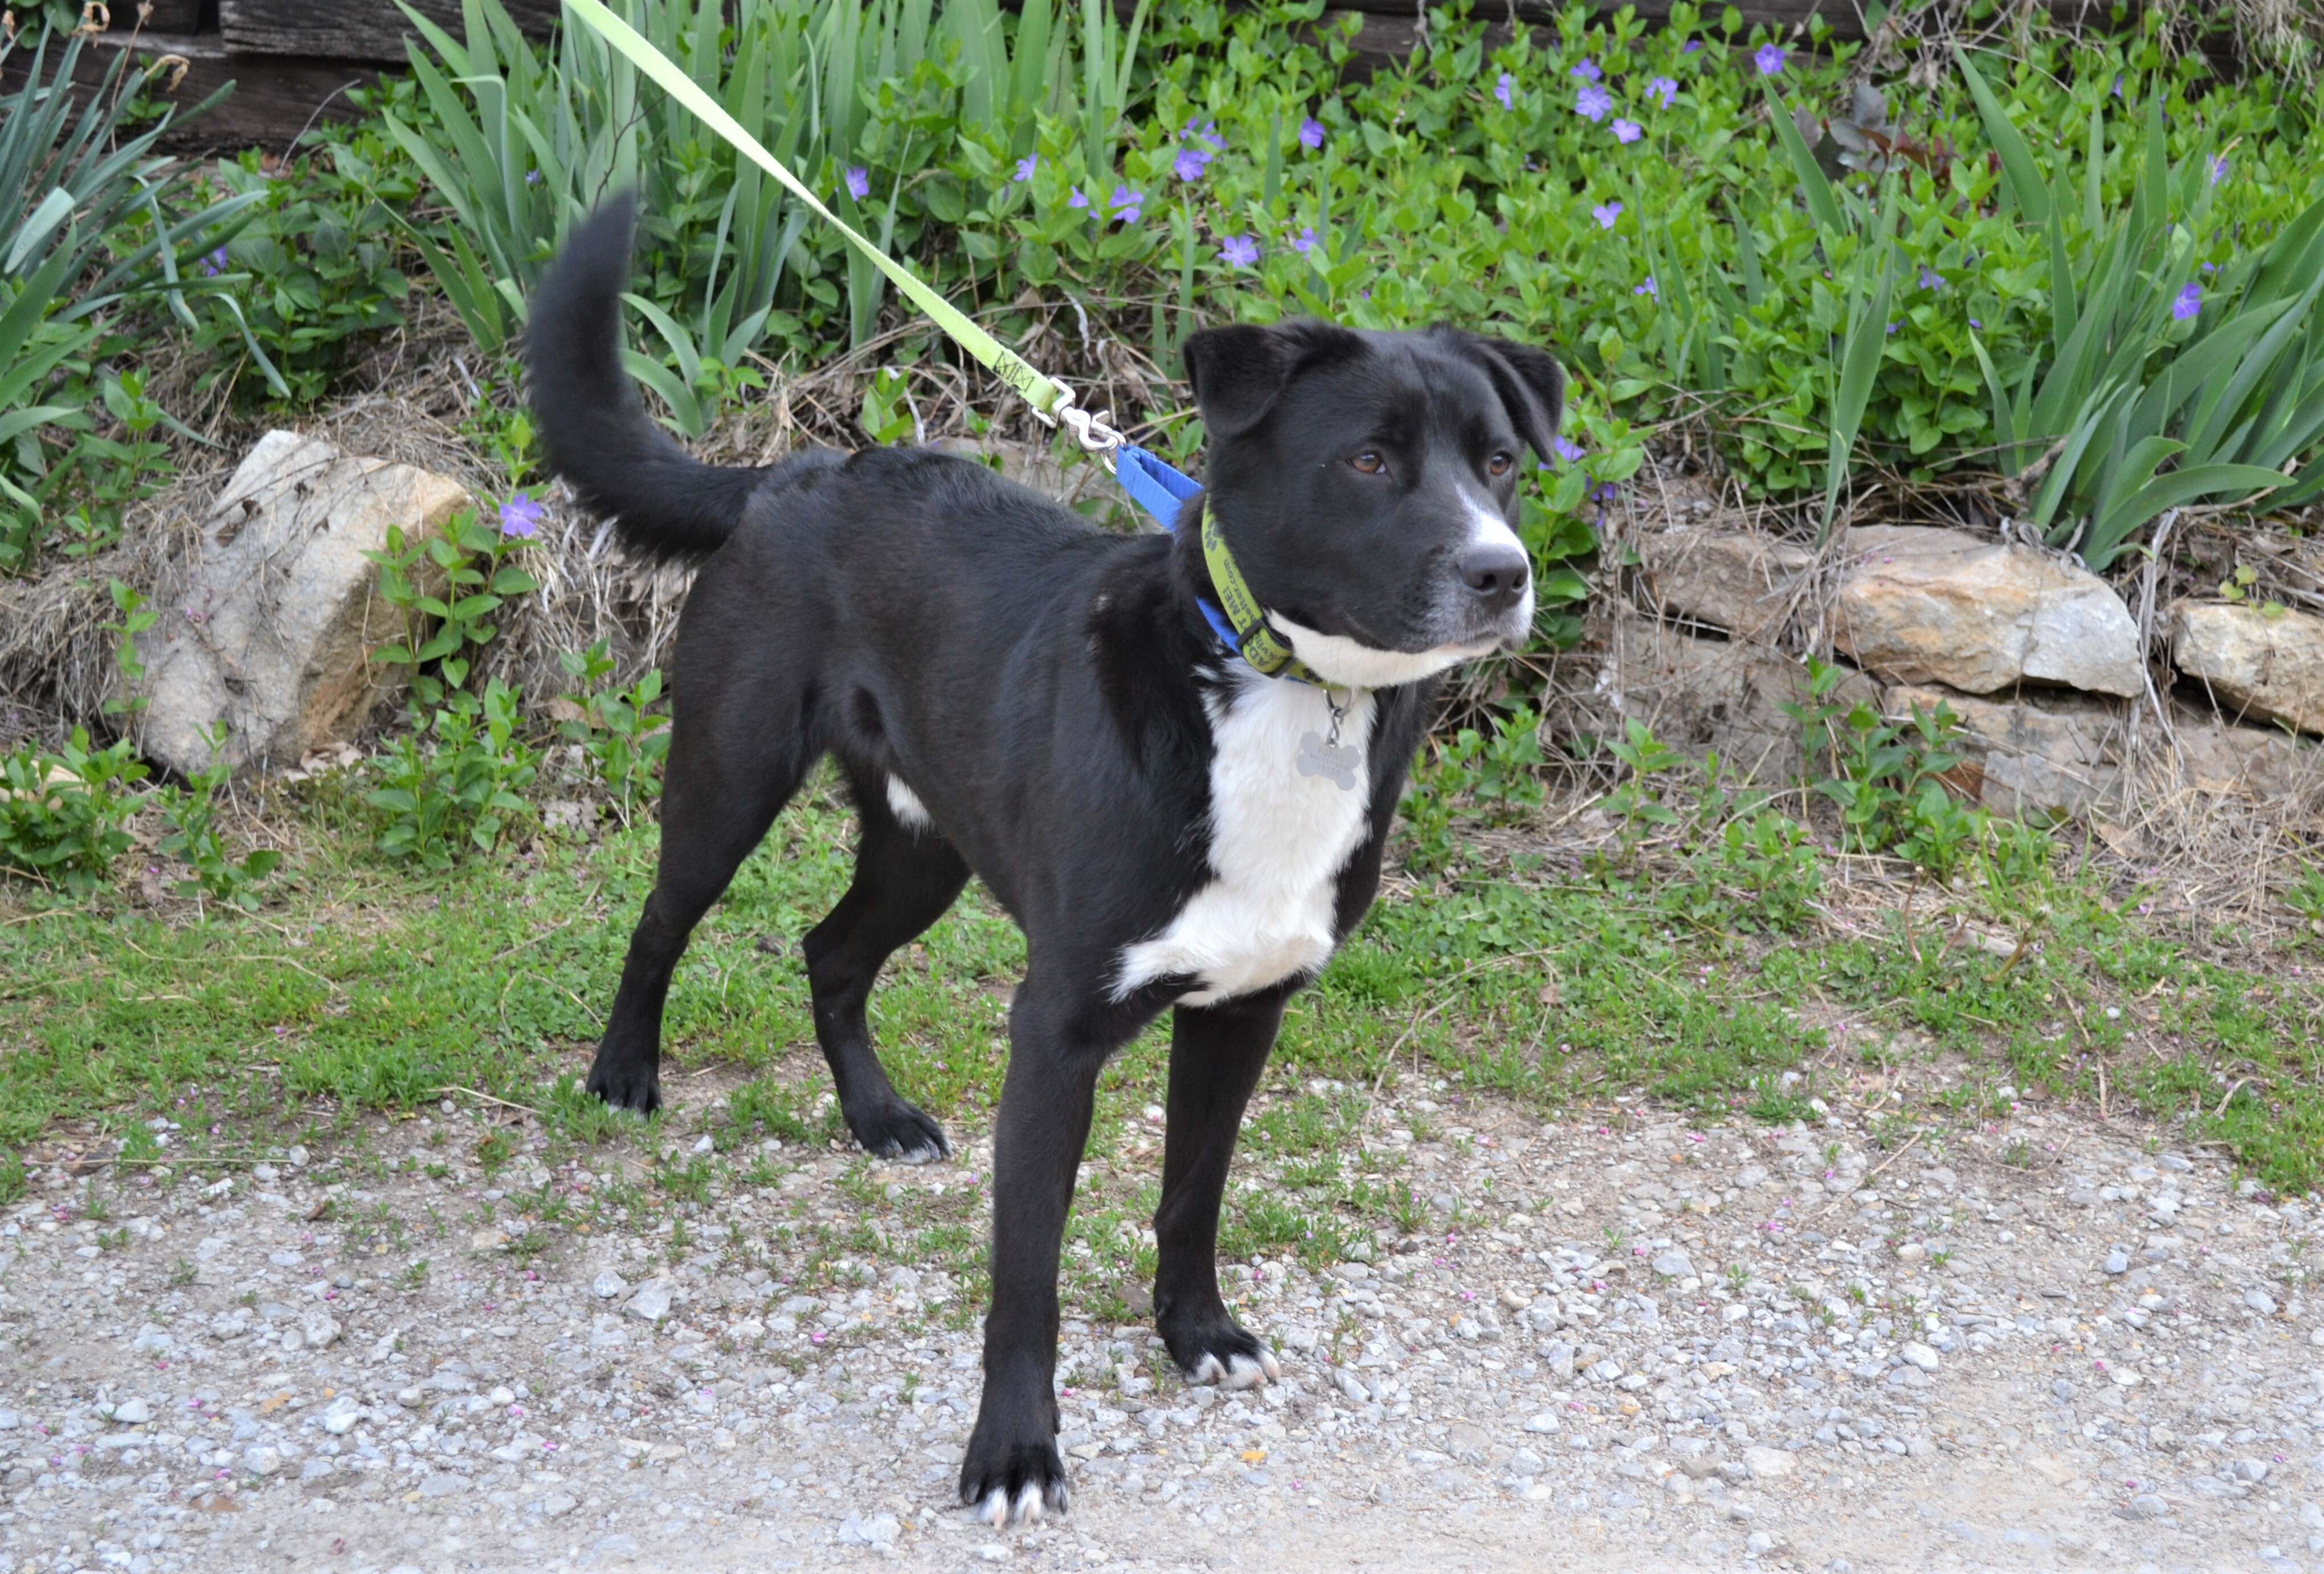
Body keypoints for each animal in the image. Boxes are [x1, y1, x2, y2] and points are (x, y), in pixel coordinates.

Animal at [532, 193, 1562, 1525]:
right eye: (1369, 461)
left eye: (1497, 463)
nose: (1501, 573)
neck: (1275, 694)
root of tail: (800, 470)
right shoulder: (1055, 1030)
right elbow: (1026, 1278)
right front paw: (1013, 1453)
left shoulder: (1242, 1008)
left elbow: (1191, 1193)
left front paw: (1194, 1332)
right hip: (727, 778)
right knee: (662, 920)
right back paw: (623, 1071)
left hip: (925, 848)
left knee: (829, 951)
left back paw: (875, 1116)